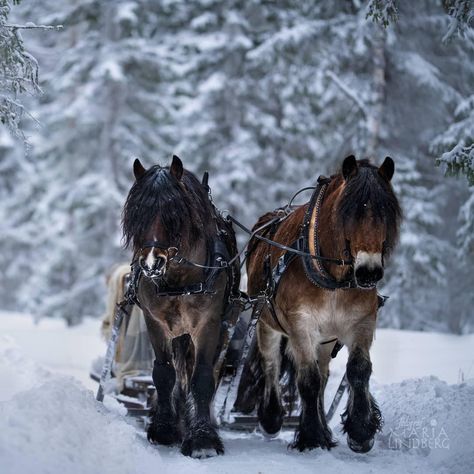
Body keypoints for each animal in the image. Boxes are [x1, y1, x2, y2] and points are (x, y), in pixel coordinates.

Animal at [123, 155, 241, 456]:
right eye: (137, 214)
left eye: (174, 213)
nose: (151, 263)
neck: (180, 280)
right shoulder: (156, 322)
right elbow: (164, 373)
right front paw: (165, 428)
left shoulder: (208, 324)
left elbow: (202, 377)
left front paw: (202, 439)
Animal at [237, 156, 400, 452]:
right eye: (349, 213)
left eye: (386, 214)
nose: (369, 272)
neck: (332, 278)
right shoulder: (301, 324)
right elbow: (307, 379)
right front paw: (311, 436)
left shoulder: (362, 321)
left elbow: (358, 370)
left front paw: (360, 431)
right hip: (266, 321)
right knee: (271, 363)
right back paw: (272, 418)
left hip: (327, 338)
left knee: (323, 375)